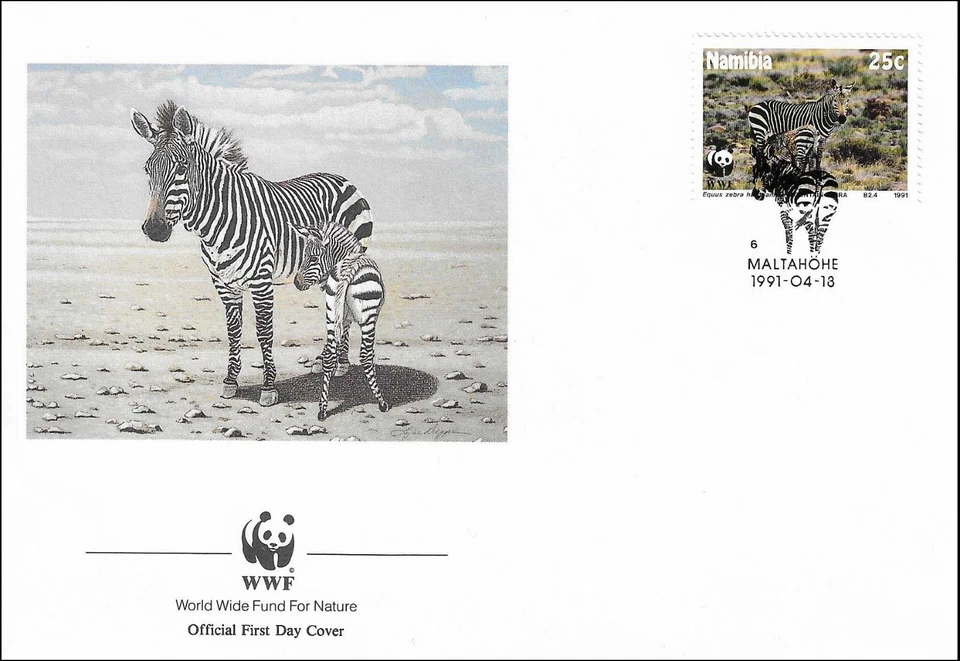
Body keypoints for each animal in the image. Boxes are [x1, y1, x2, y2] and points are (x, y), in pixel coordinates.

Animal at [131, 101, 373, 407]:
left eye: (182, 166)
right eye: (147, 169)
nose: (154, 228)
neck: (218, 220)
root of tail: (342, 178)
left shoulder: (261, 282)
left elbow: (264, 331)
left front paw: (268, 387)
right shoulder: (224, 283)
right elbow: (234, 331)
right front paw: (230, 381)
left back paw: (340, 364)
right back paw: (325, 360)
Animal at [292, 223, 389, 420]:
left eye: (313, 258)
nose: (296, 283)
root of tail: (349, 270)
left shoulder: (342, 318)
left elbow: (341, 340)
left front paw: (340, 367)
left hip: (330, 310)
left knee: (329, 356)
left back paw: (322, 408)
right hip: (368, 317)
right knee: (366, 355)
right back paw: (381, 401)